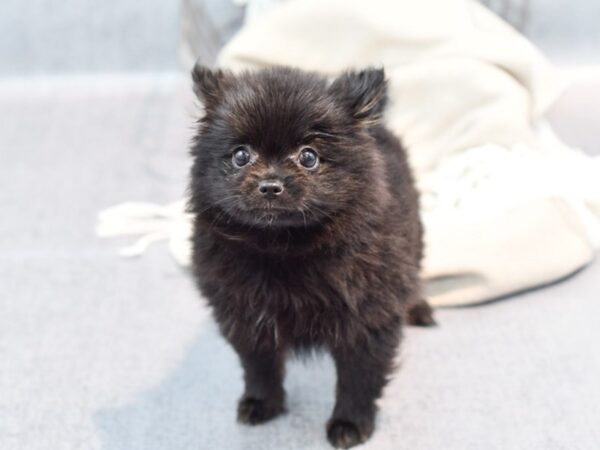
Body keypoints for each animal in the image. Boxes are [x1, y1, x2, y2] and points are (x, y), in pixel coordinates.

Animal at [190, 65, 434, 448]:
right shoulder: (246, 316)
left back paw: (418, 307)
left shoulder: (367, 322)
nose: (270, 185)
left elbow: (358, 380)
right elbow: (259, 366)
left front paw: (350, 424)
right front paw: (262, 403)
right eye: (241, 156)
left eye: (309, 157)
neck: (283, 248)